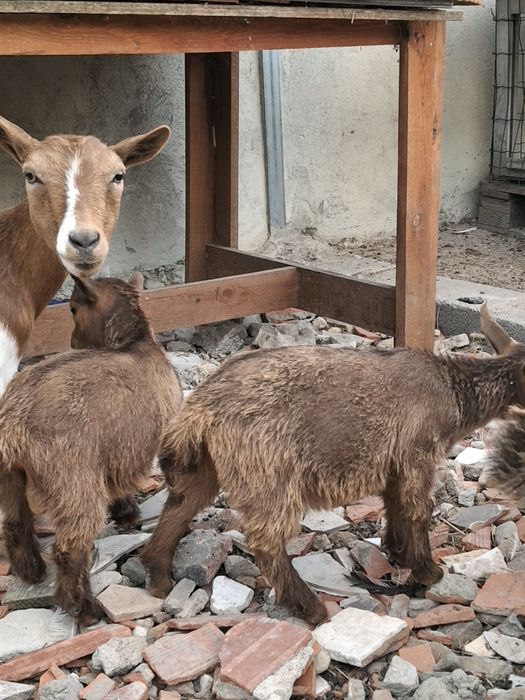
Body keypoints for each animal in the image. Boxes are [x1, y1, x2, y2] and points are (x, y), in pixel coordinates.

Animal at [0, 274, 182, 625]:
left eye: (72, 308)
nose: (73, 342)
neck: (135, 345)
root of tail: (15, 418)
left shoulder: (114, 455)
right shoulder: (127, 452)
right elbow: (123, 485)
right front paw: (128, 517)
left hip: (11, 475)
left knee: (15, 523)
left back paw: (32, 571)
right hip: (73, 479)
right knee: (70, 547)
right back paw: (83, 608)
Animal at [142, 304, 525, 624]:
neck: (453, 390)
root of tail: (202, 408)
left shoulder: (393, 462)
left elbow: (395, 503)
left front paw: (397, 552)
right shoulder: (418, 452)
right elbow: (418, 509)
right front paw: (428, 571)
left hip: (205, 465)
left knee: (179, 507)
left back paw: (158, 577)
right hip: (267, 470)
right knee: (266, 540)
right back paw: (310, 607)